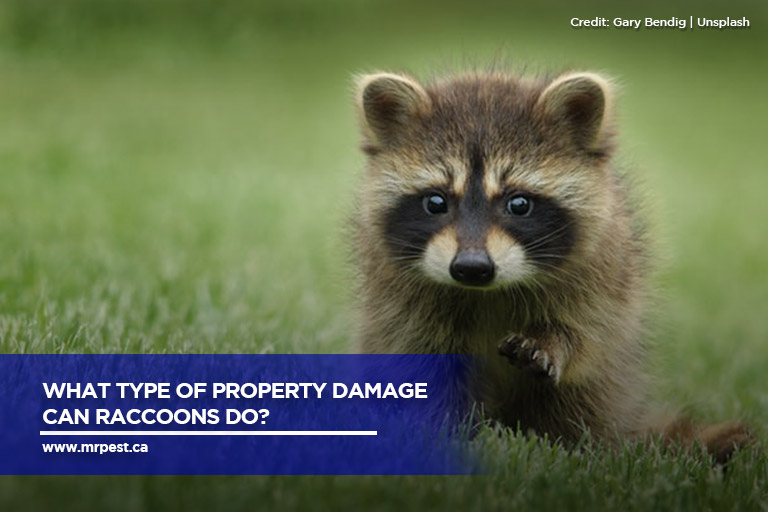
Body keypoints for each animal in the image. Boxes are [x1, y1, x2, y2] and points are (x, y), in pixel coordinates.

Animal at [351, 69, 750, 462]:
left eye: (519, 204)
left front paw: (554, 340)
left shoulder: (604, 270)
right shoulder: (398, 297)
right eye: (436, 202)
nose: (472, 267)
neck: (488, 291)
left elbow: (589, 332)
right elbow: (417, 359)